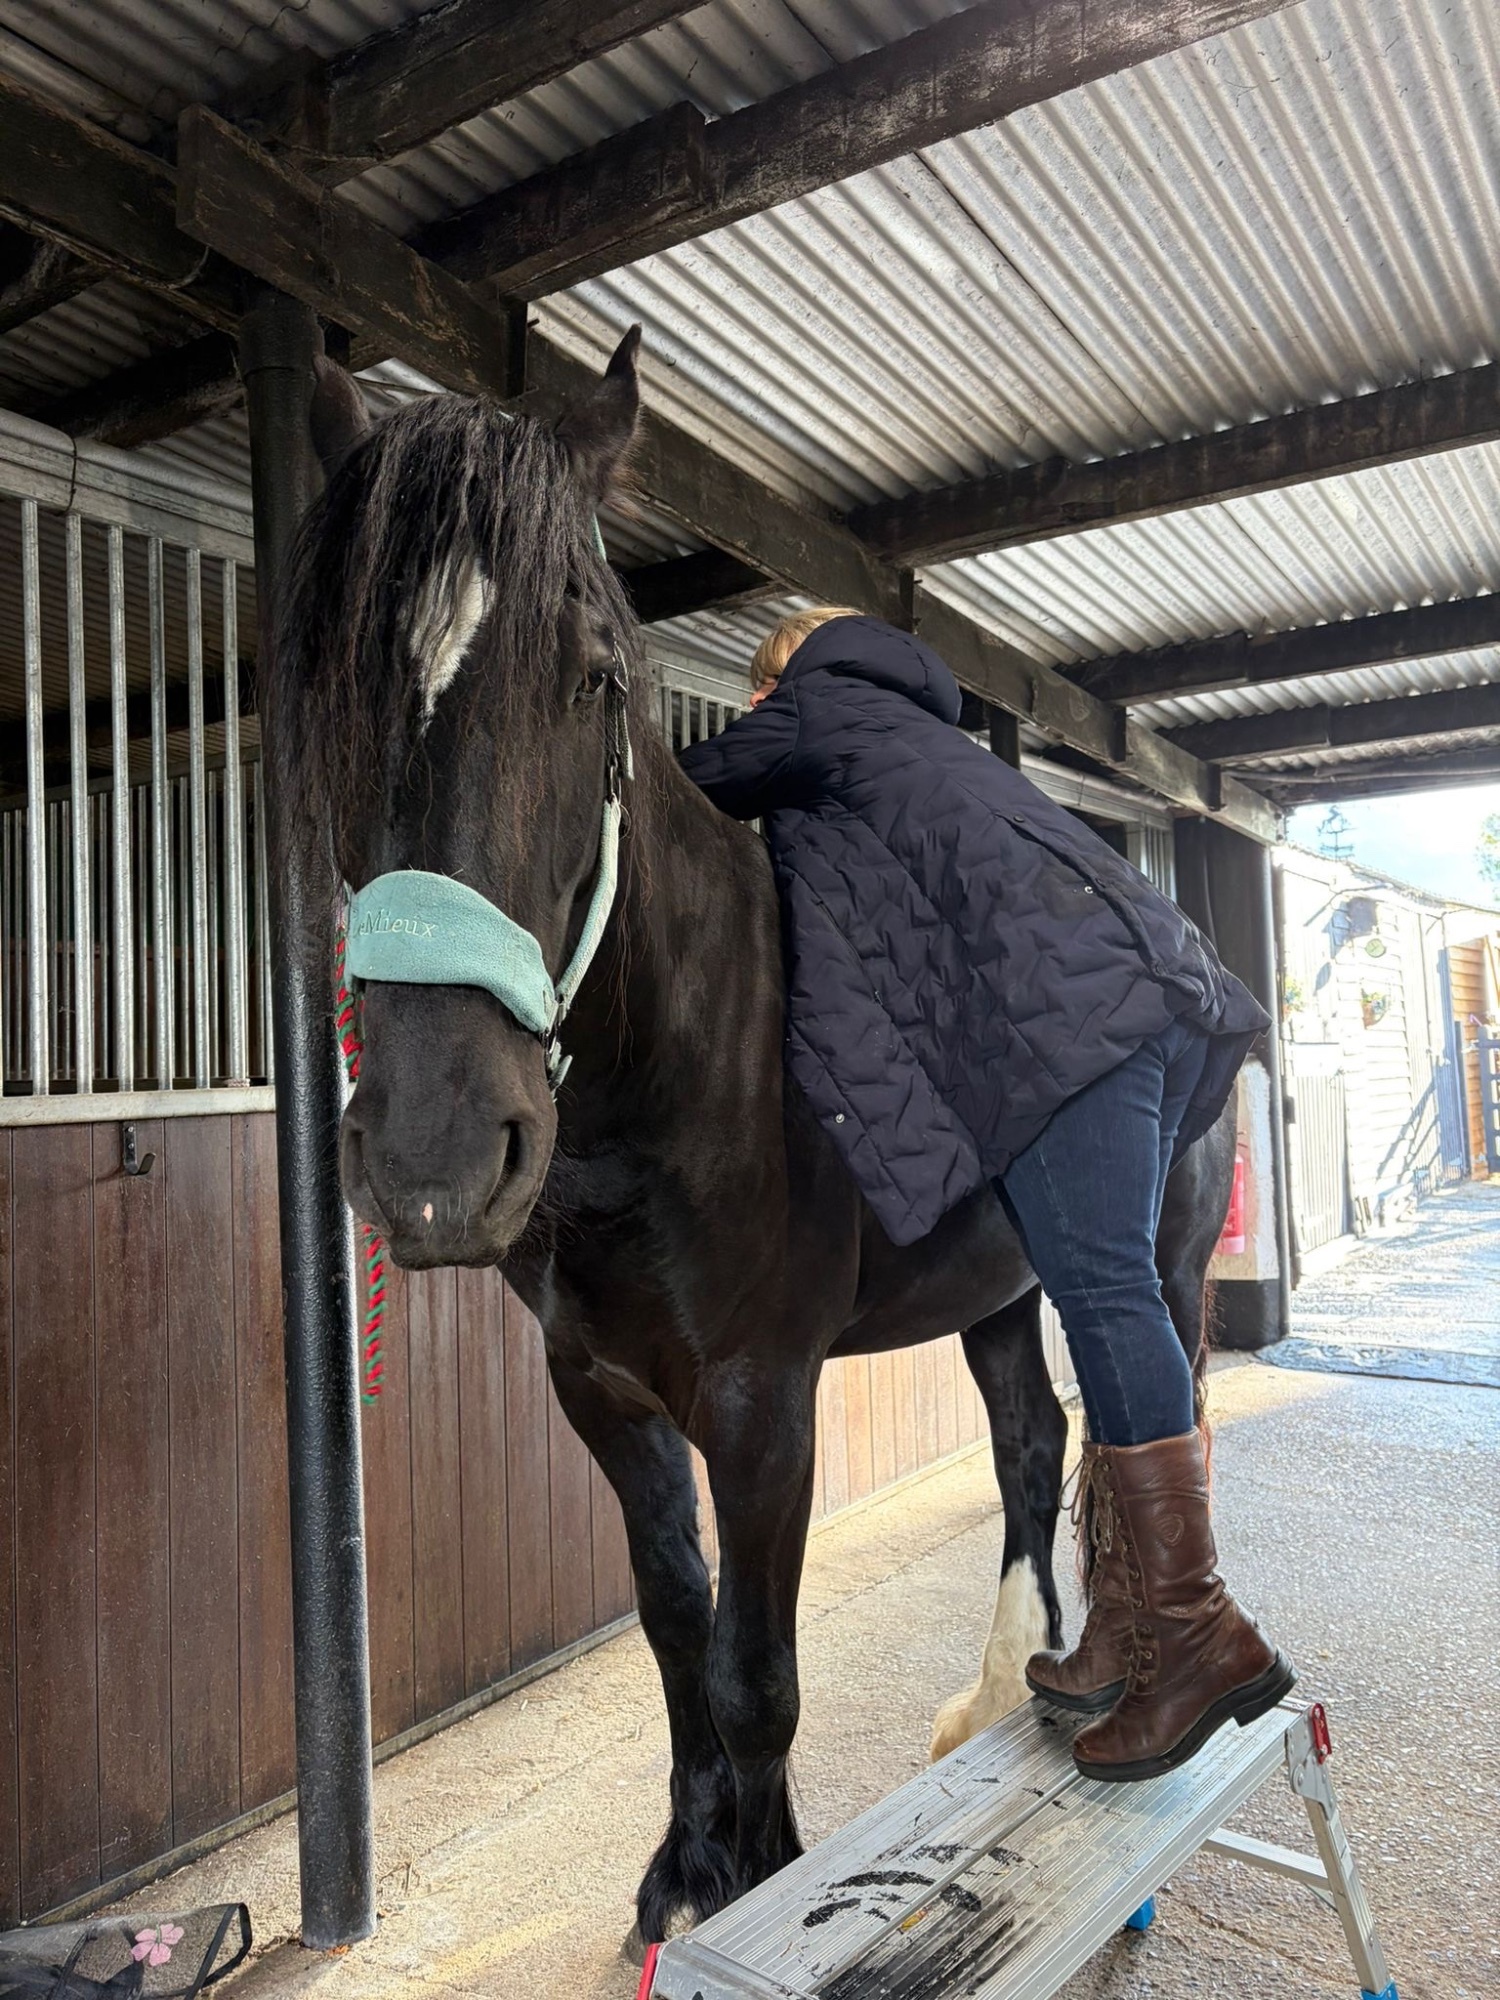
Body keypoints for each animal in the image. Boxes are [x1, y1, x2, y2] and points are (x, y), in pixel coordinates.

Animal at [273, 327, 1235, 1949]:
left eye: (596, 681)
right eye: (339, 693)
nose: (436, 1162)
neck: (677, 1073)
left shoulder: (762, 1399)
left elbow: (756, 1669)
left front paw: (763, 1869)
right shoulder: (602, 1391)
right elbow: (678, 1625)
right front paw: (683, 1862)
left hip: (1156, 1252)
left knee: (1145, 1418)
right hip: (994, 1286)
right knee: (1033, 1439)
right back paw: (1006, 1683)